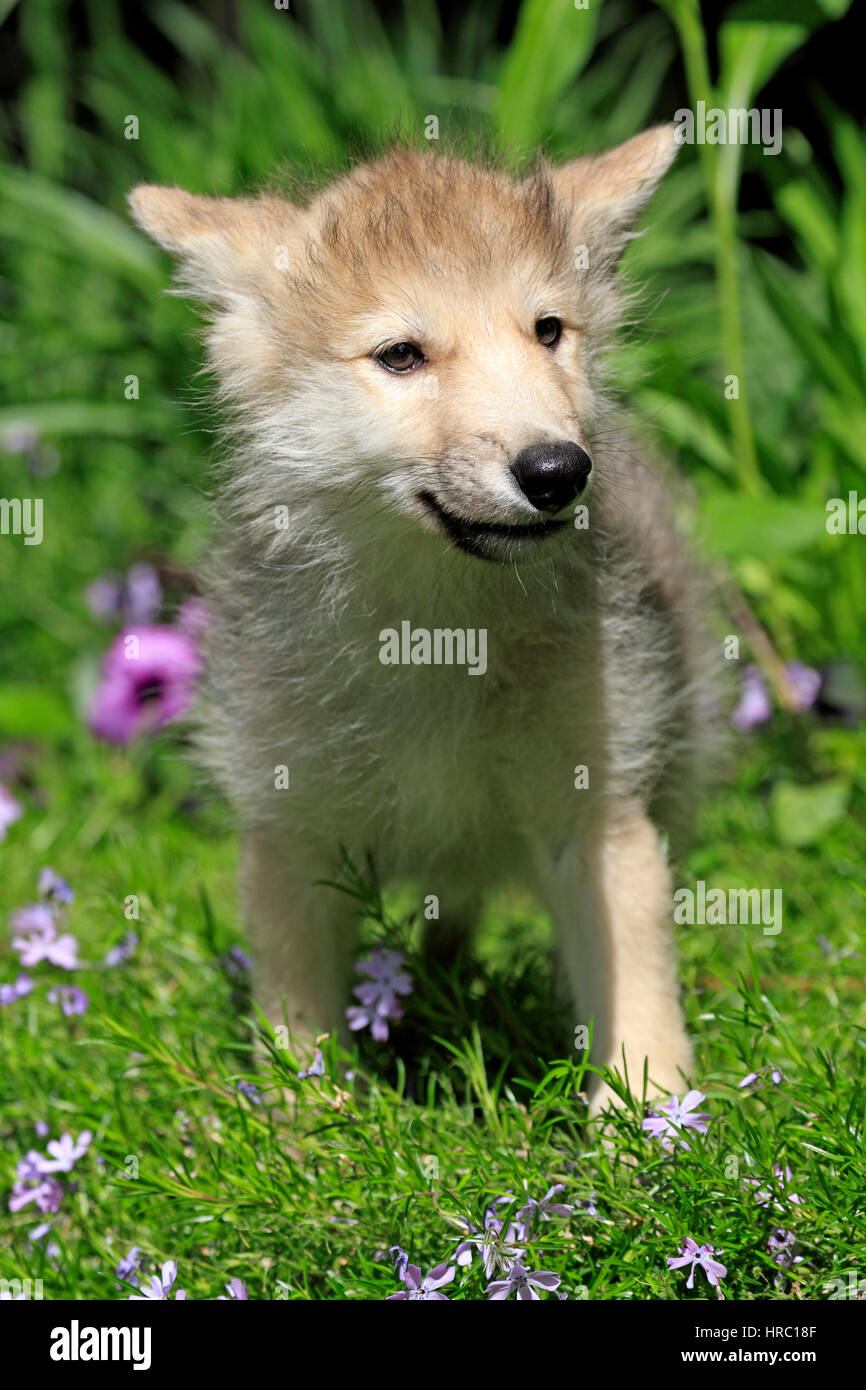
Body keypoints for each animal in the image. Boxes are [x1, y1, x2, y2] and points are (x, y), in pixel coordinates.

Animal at [134, 127, 717, 1106]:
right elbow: (296, 1030)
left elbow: (636, 992)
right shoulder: (290, 834)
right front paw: (309, 1128)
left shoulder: (598, 818)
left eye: (548, 331)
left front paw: (654, 1125)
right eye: (401, 355)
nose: (559, 469)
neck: (437, 633)